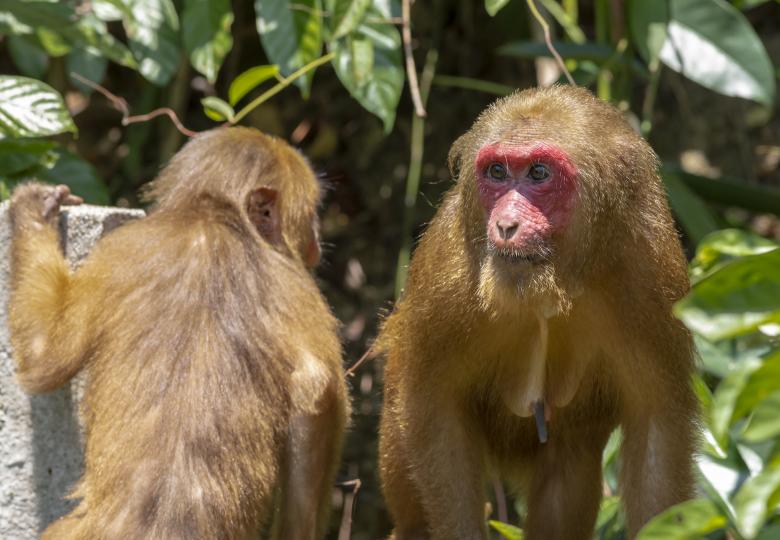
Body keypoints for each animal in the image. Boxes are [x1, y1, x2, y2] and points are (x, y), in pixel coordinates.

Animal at [7, 127, 348, 540]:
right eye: (311, 216)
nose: (316, 236)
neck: (213, 217)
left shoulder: (120, 247)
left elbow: (46, 360)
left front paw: (33, 213)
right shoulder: (294, 279)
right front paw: (35, 212)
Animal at [377, 86, 697, 540]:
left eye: (539, 173)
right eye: (497, 172)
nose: (506, 225)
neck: (558, 279)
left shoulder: (651, 274)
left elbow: (657, 426)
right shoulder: (448, 268)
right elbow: (434, 406)